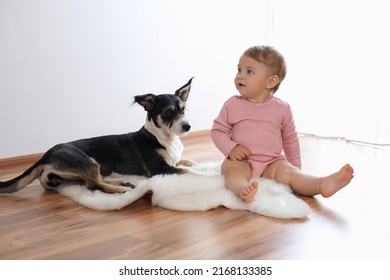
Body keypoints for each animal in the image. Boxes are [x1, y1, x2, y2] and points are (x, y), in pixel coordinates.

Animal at [0, 77, 195, 194]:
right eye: (168, 113)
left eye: (183, 110)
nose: (188, 126)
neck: (165, 138)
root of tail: (45, 155)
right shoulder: (159, 168)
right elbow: (187, 171)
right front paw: (201, 175)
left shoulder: (174, 161)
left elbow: (188, 161)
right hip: (88, 162)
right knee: (93, 184)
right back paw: (120, 190)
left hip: (74, 174)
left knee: (91, 181)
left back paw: (121, 182)